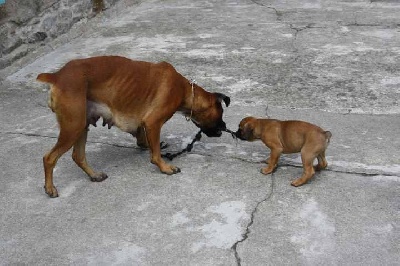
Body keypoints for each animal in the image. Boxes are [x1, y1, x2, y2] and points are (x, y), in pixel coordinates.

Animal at [36, 56, 230, 197]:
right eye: (220, 115)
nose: (224, 127)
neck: (185, 90)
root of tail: (57, 76)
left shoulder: (143, 124)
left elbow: (143, 139)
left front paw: (149, 145)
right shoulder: (153, 123)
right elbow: (155, 154)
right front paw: (164, 167)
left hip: (81, 125)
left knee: (78, 156)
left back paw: (94, 175)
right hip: (73, 127)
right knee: (49, 158)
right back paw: (50, 188)